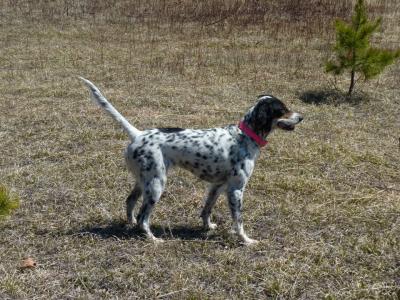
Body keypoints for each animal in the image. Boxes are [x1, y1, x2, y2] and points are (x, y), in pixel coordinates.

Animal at [79, 77, 302, 244]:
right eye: (283, 109)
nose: (301, 117)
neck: (245, 136)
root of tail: (138, 134)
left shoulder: (217, 186)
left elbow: (206, 210)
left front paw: (208, 227)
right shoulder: (236, 190)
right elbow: (238, 221)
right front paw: (246, 240)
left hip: (144, 181)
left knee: (130, 202)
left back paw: (131, 223)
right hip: (157, 185)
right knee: (144, 217)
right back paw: (152, 238)